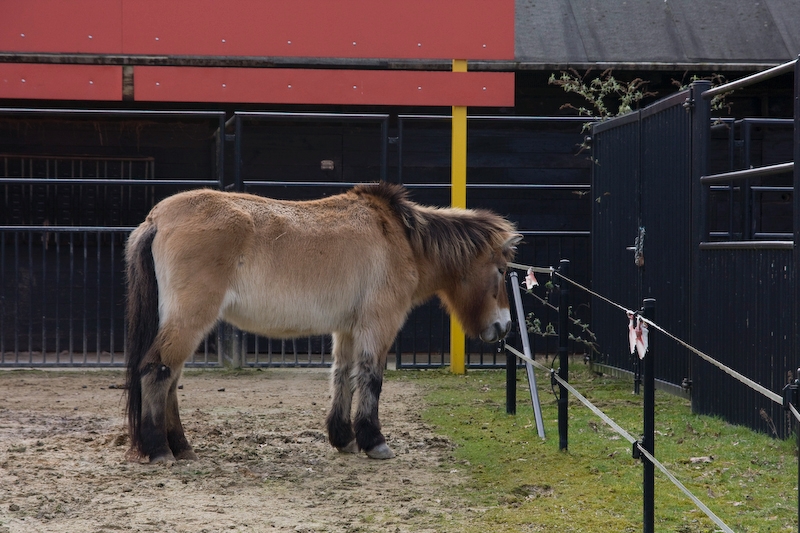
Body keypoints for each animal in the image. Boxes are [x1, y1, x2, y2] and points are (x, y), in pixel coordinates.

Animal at [124, 182, 521, 463]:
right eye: (502, 271)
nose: (504, 327)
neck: (401, 238)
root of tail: (157, 219)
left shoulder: (347, 328)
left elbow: (342, 375)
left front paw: (343, 438)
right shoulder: (379, 324)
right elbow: (372, 378)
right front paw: (374, 441)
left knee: (170, 380)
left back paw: (182, 447)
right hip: (190, 320)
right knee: (157, 371)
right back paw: (160, 450)